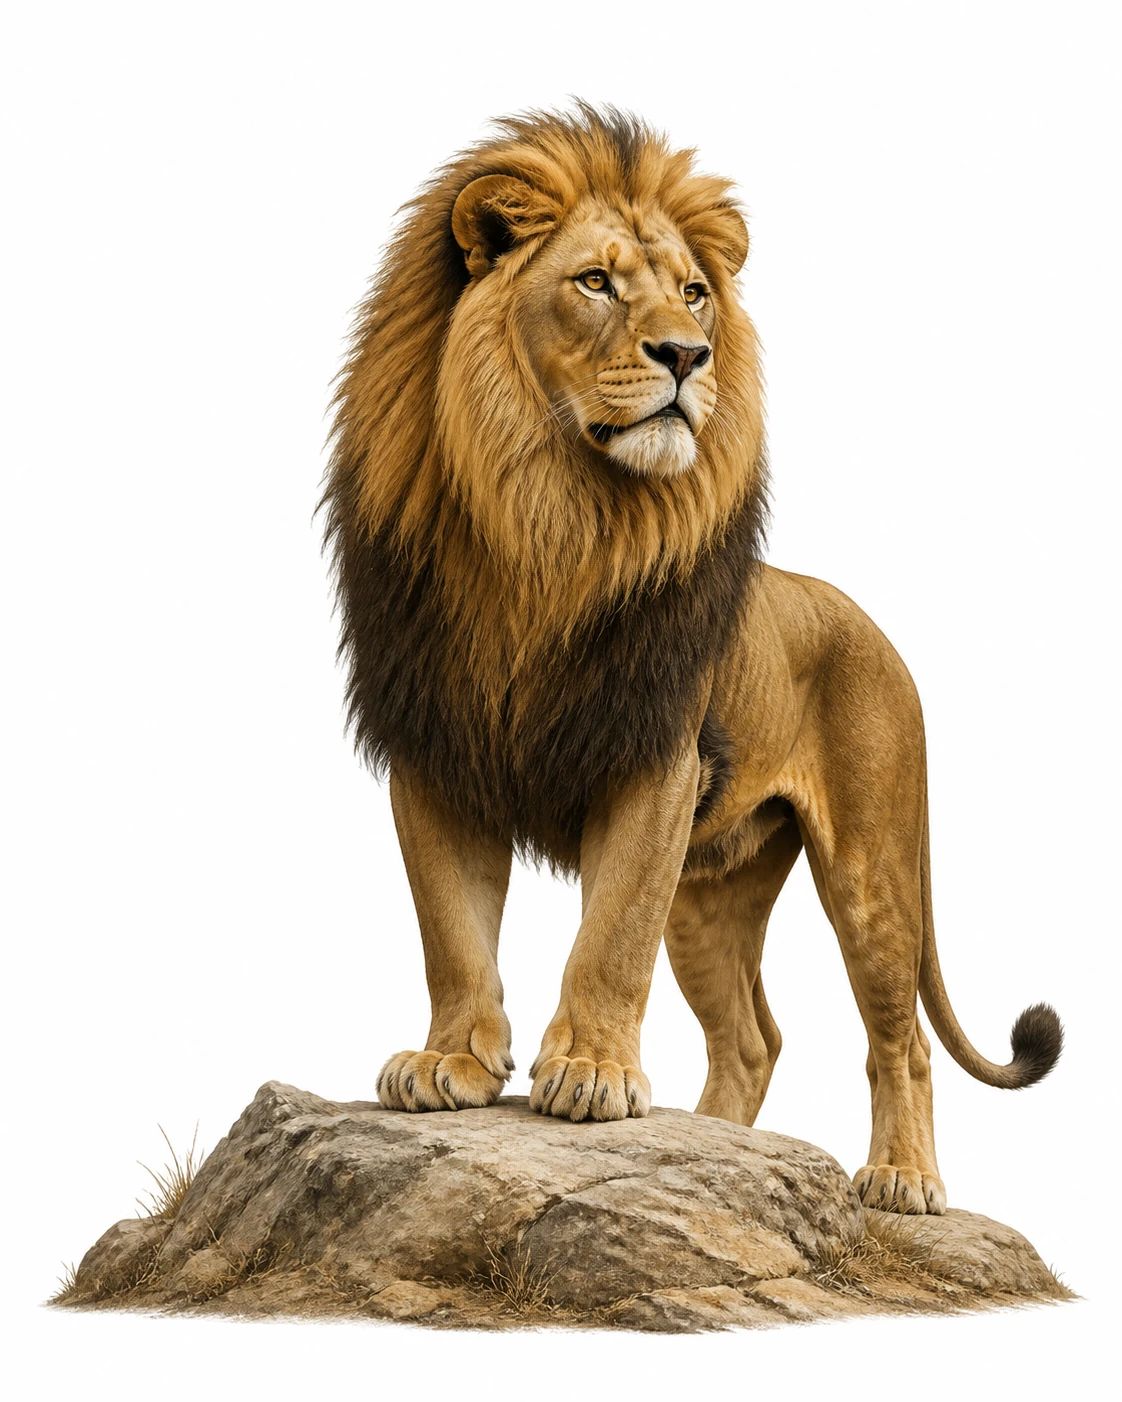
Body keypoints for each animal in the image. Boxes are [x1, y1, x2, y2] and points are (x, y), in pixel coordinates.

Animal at [322, 105, 1061, 1215]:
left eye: (694, 291)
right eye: (595, 281)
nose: (689, 353)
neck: (548, 525)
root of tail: (874, 625)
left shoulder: (656, 761)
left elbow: (610, 934)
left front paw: (591, 1073)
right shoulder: (435, 749)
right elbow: (450, 930)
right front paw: (451, 1060)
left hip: (875, 866)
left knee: (901, 1039)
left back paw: (900, 1180)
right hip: (715, 890)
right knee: (752, 1036)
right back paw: (714, 1148)